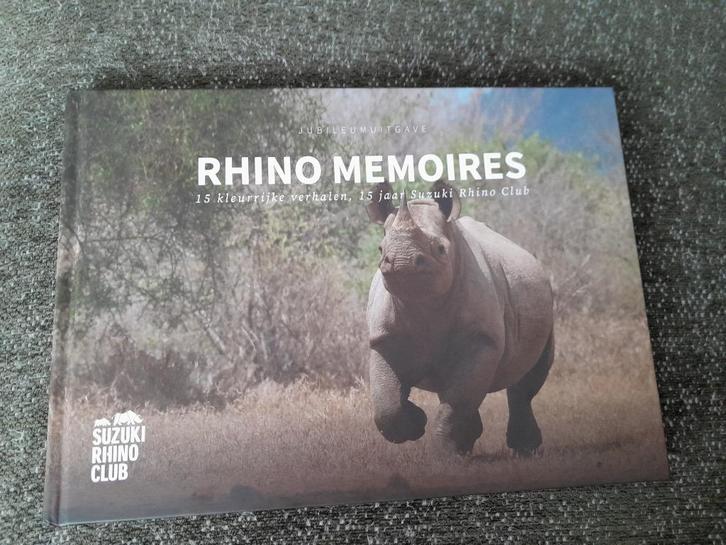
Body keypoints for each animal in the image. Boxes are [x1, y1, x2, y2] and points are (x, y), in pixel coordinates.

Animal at [366, 181, 554, 455]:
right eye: (381, 249)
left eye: (440, 249)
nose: (401, 262)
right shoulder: (383, 338)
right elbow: (386, 404)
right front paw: (416, 423)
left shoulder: (482, 338)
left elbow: (457, 402)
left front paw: (444, 453)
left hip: (545, 299)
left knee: (525, 381)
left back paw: (525, 450)